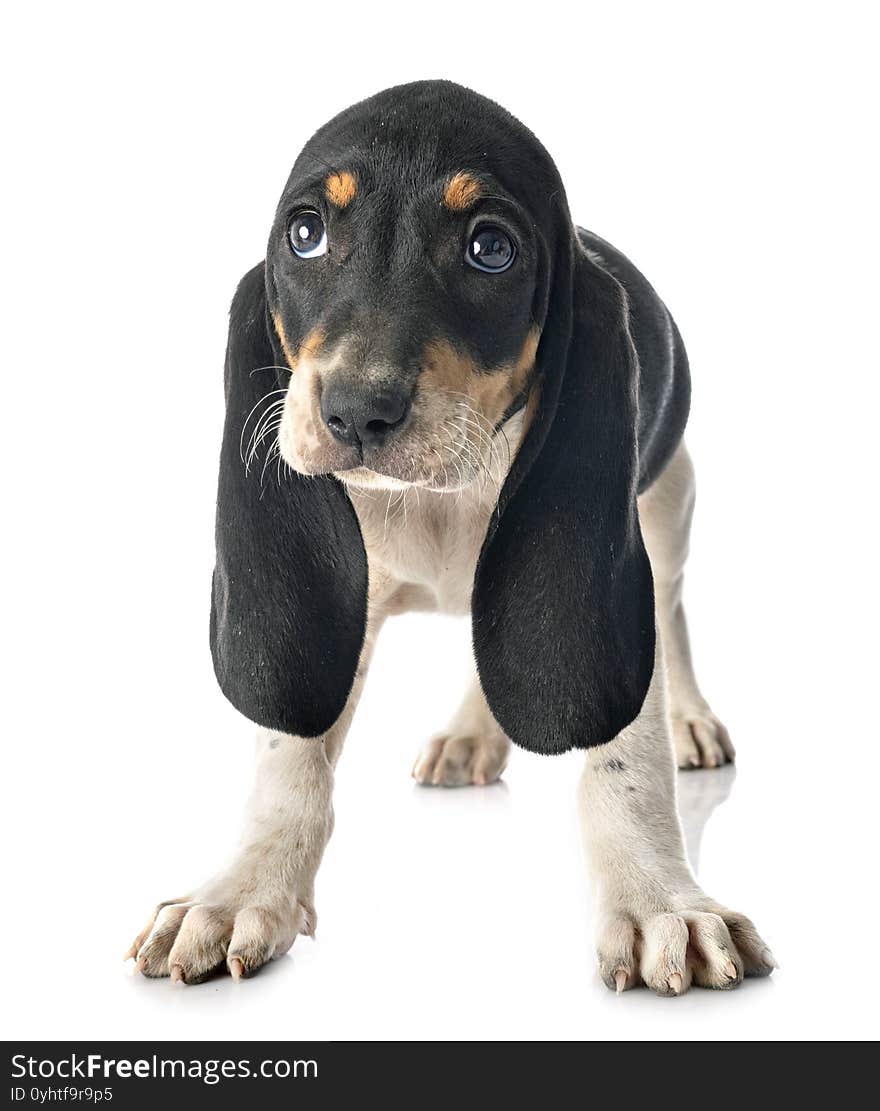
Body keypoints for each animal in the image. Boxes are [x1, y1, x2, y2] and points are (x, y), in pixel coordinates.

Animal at [127, 82, 773, 995]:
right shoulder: (337, 607)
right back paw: (472, 733)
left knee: (672, 614)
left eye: (490, 249)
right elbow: (289, 758)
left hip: (668, 504)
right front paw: (243, 889)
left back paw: (689, 719)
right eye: (305, 232)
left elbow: (626, 762)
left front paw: (659, 904)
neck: (435, 503)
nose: (356, 410)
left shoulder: (607, 573)